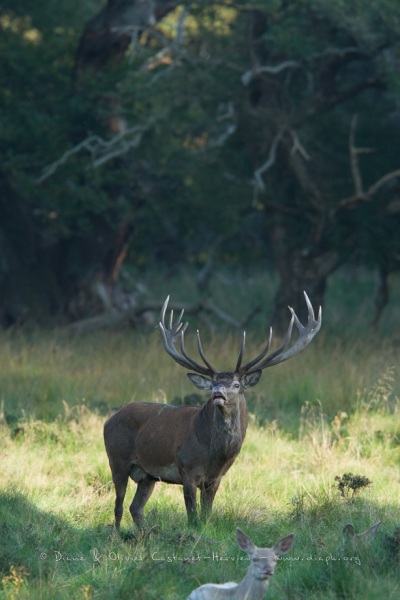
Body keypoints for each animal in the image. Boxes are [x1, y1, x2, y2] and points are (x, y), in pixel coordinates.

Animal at [104, 292, 322, 528]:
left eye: (236, 384)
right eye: (213, 384)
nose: (218, 392)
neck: (215, 454)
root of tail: (109, 419)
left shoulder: (216, 478)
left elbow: (206, 515)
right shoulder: (186, 469)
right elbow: (193, 517)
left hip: (147, 475)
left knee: (135, 507)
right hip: (117, 460)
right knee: (118, 506)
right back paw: (118, 534)